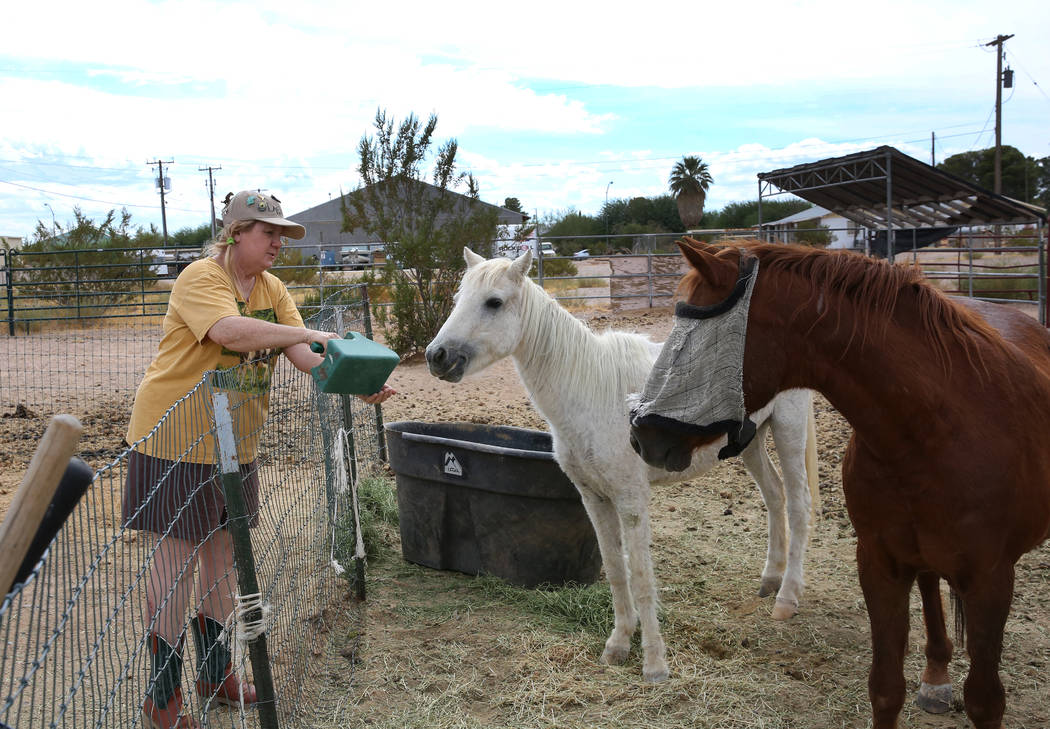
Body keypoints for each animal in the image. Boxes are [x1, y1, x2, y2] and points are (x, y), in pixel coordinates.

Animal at [422, 248, 814, 680]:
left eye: (494, 302)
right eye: (459, 299)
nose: (437, 357)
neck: (591, 391)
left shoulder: (631, 500)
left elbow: (640, 575)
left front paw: (655, 664)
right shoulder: (593, 498)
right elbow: (614, 568)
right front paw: (618, 644)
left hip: (789, 428)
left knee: (798, 505)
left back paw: (786, 599)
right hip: (751, 440)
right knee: (775, 496)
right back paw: (769, 580)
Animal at [625, 237, 1045, 726]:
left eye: (693, 341)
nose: (641, 436)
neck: (938, 428)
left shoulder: (992, 579)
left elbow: (984, 699)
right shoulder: (879, 563)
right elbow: (885, 689)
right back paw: (936, 675)